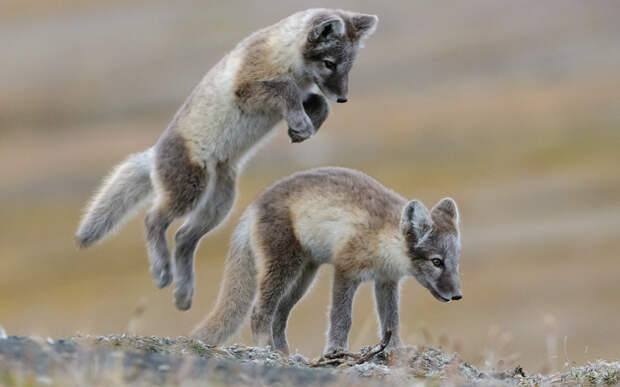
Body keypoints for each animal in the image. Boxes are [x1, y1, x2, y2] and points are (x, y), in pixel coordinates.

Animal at [75, 9, 380, 310]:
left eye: (348, 66)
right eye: (329, 63)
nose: (343, 98)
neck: (285, 56)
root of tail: (153, 154)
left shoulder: (301, 94)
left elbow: (319, 103)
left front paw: (302, 128)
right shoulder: (246, 88)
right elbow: (287, 88)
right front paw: (301, 123)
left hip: (220, 205)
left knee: (183, 237)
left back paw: (184, 293)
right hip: (189, 190)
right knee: (153, 219)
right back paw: (162, 271)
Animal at [191, 168, 462, 356]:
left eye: (454, 262)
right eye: (437, 262)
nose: (458, 295)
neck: (383, 237)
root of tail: (252, 207)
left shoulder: (386, 281)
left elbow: (391, 320)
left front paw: (395, 350)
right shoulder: (345, 269)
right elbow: (341, 317)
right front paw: (335, 351)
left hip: (303, 279)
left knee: (279, 315)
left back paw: (284, 352)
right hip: (282, 268)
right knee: (260, 311)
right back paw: (268, 349)